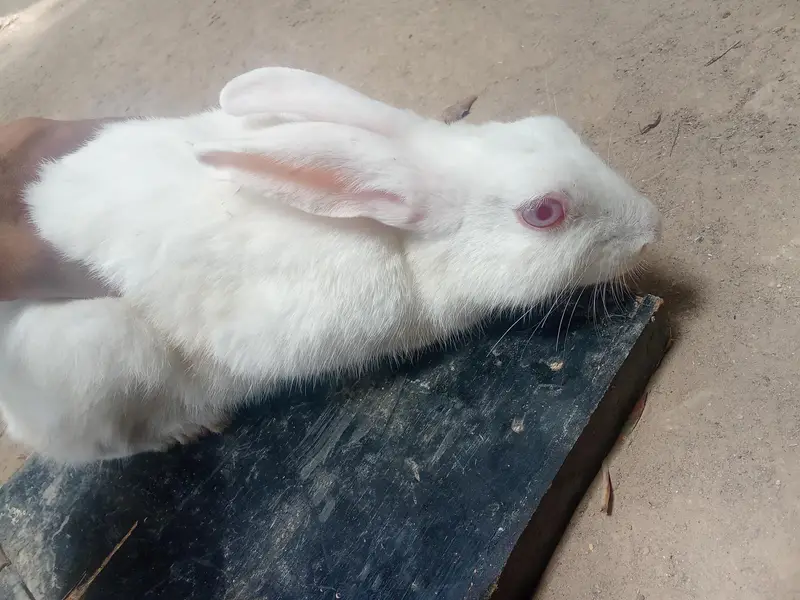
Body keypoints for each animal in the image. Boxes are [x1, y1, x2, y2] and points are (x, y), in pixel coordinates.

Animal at [0, 67, 662, 463]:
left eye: (556, 127)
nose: (652, 227)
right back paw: (190, 428)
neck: (401, 244)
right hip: (102, 357)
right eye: (543, 212)